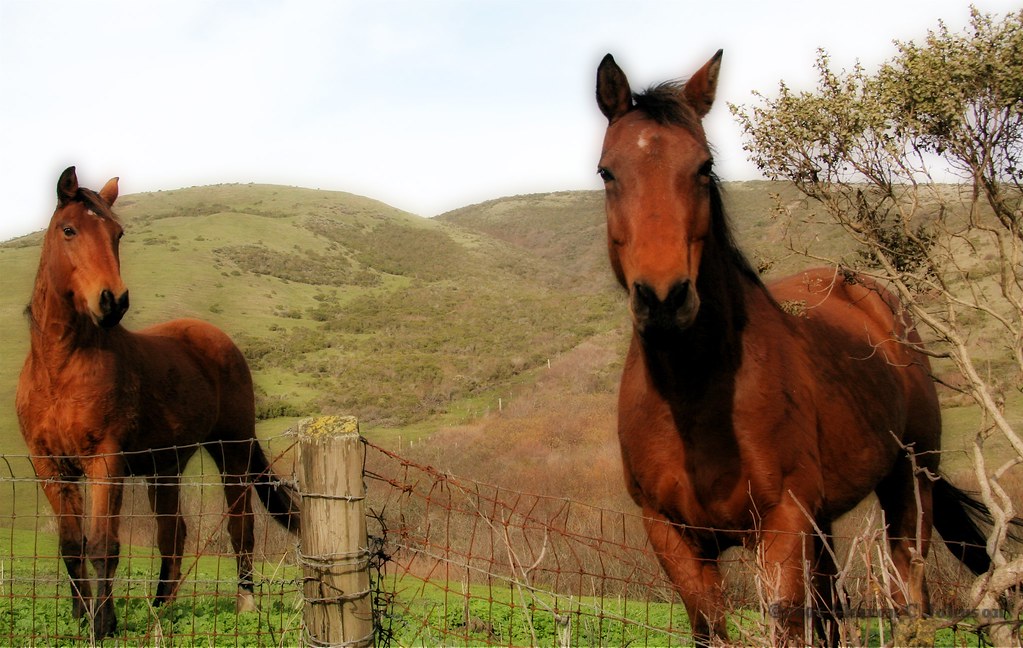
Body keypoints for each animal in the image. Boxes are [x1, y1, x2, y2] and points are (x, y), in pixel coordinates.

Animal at [16, 167, 301, 639]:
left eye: (117, 233)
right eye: (69, 230)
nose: (113, 301)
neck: (60, 366)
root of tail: (216, 338)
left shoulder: (105, 461)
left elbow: (103, 547)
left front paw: (104, 625)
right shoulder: (49, 466)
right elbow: (72, 546)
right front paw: (81, 617)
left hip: (232, 451)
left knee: (241, 527)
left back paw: (245, 603)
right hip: (165, 466)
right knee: (174, 534)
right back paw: (160, 609)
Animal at [595, 52, 996, 645]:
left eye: (704, 168)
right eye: (608, 172)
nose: (664, 299)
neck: (696, 396)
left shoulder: (783, 527)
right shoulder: (673, 537)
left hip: (911, 481)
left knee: (910, 591)